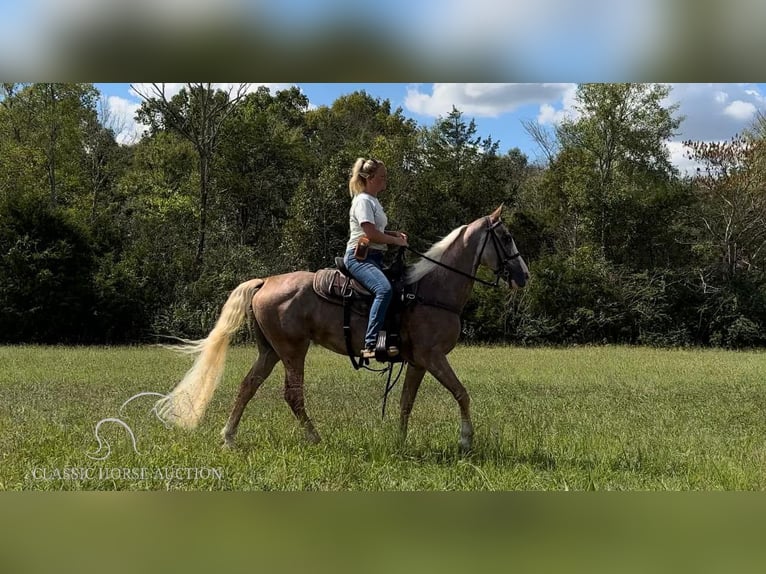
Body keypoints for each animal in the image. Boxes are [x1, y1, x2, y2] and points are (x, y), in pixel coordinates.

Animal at [155, 206, 528, 454]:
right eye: (506, 237)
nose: (523, 276)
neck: (431, 290)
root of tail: (265, 282)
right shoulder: (433, 357)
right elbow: (462, 393)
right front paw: (466, 441)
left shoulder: (418, 362)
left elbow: (406, 403)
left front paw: (399, 442)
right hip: (293, 349)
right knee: (292, 395)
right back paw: (314, 438)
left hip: (270, 351)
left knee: (247, 386)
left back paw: (229, 438)